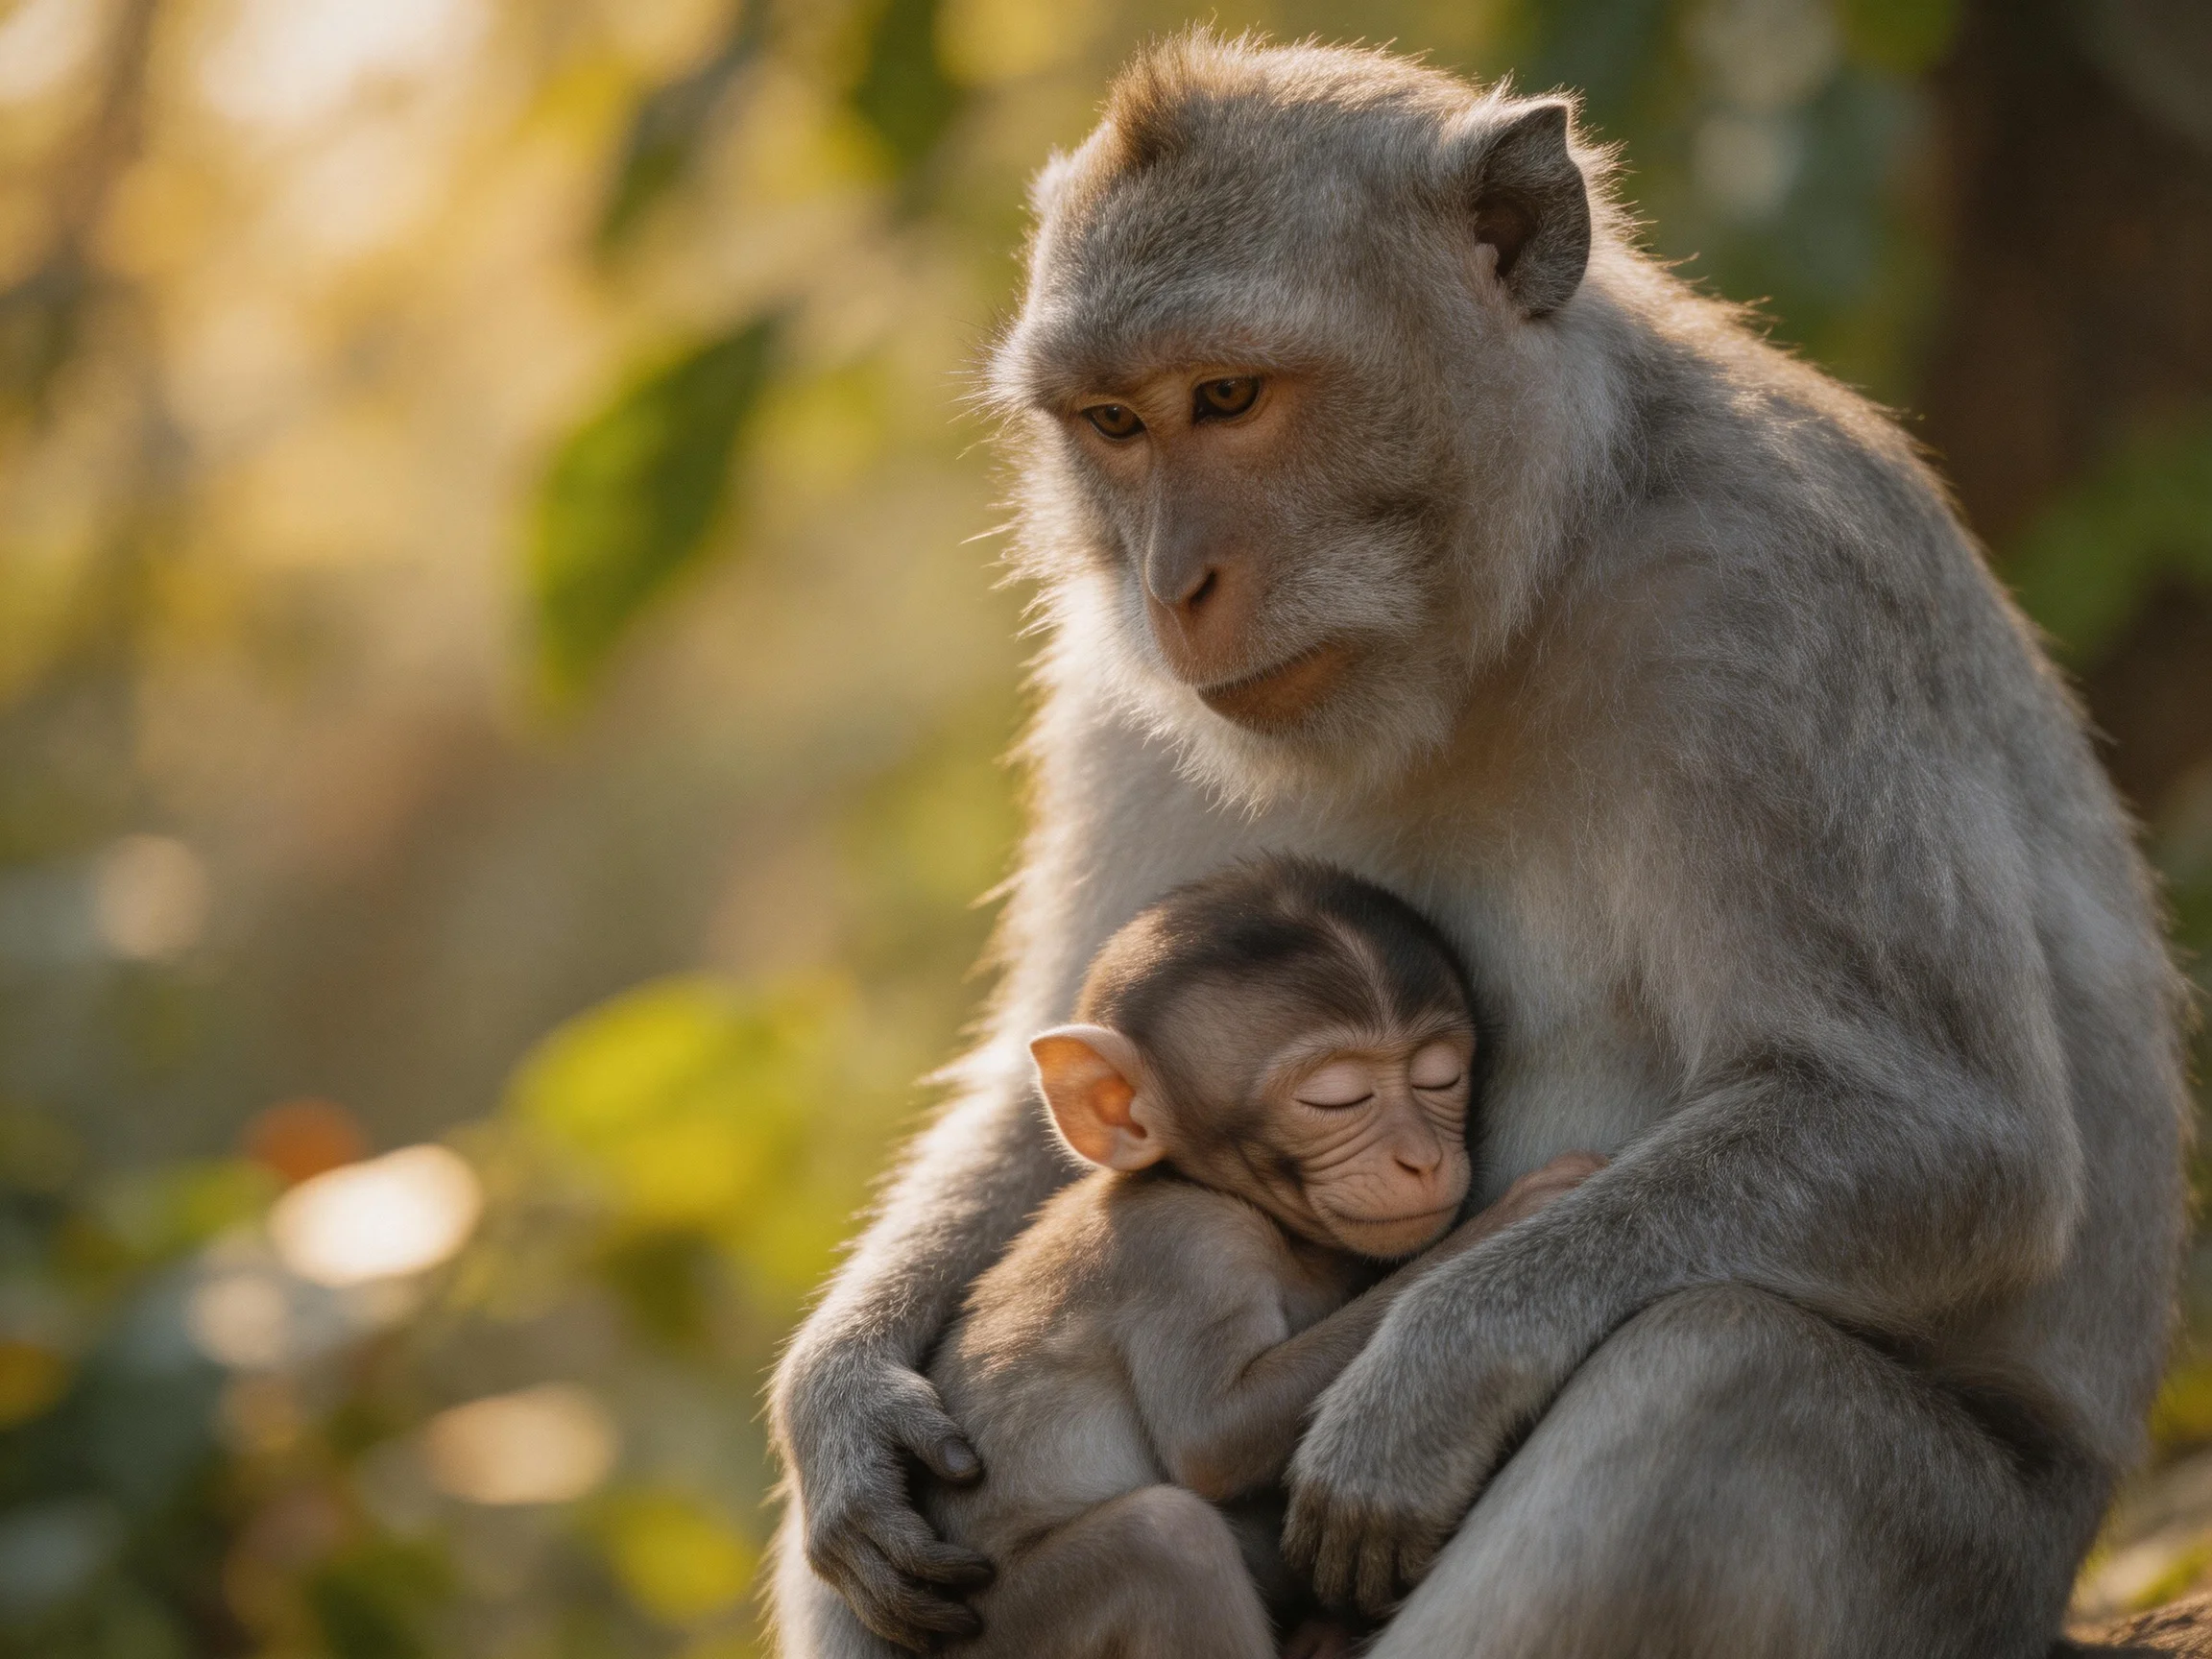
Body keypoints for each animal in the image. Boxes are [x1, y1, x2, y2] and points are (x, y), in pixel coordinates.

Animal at [778, 857, 1605, 1659]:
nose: (1423, 1159)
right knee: (1167, 1543)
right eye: (1336, 1099)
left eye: (1442, 1077)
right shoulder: (1188, 1250)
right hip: (1005, 1631)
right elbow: (1214, 1435)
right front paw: (1516, 1215)